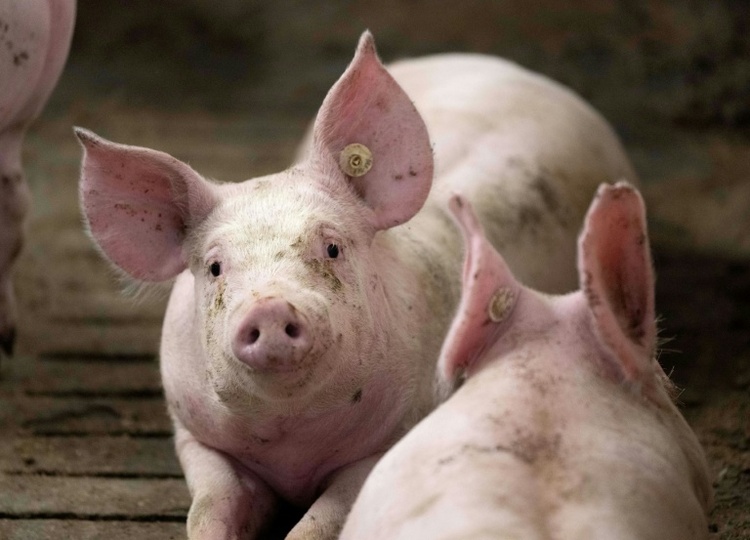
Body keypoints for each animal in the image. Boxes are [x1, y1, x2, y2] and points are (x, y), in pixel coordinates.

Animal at [76, 32, 639, 539]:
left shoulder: (390, 439)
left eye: (331, 248)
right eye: (215, 267)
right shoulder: (196, 437)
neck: (290, 444)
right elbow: (207, 509)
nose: (269, 307)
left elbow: (319, 523)